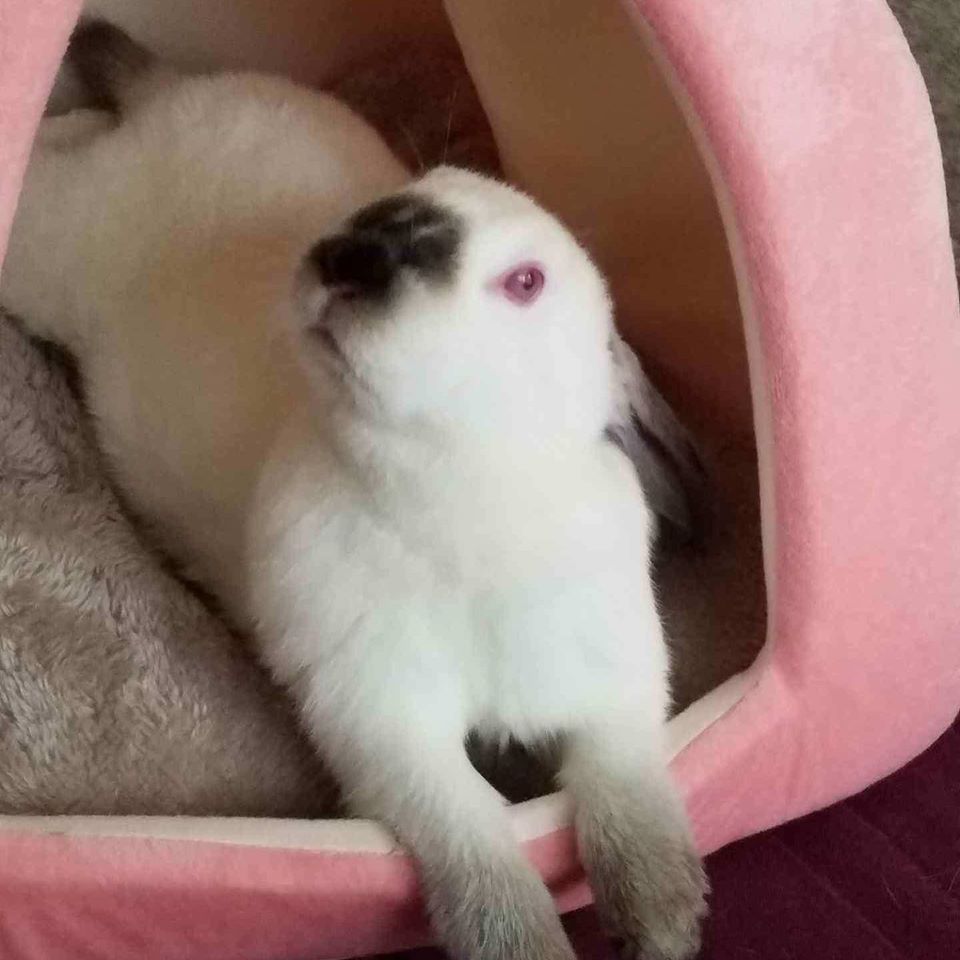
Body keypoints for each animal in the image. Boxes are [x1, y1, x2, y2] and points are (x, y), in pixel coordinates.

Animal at [0, 21, 707, 960]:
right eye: (388, 207)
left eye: (524, 283)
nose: (348, 254)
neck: (464, 496)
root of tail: (176, 91)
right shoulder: (388, 727)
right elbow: (481, 849)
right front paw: (531, 945)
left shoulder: (614, 695)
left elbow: (632, 808)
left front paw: (665, 925)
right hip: (49, 247)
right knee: (56, 147)